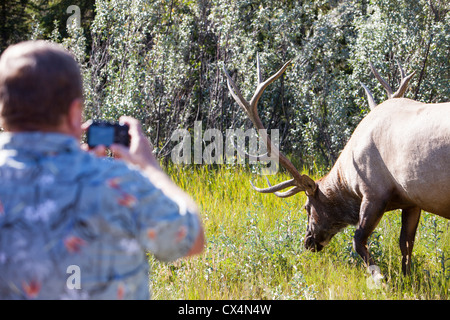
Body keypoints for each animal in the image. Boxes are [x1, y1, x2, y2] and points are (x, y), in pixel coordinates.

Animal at [223, 55, 450, 276]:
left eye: (306, 207)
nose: (308, 242)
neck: (348, 178)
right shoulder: (411, 200)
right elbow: (406, 246)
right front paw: (406, 278)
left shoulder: (374, 192)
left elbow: (358, 241)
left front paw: (379, 277)